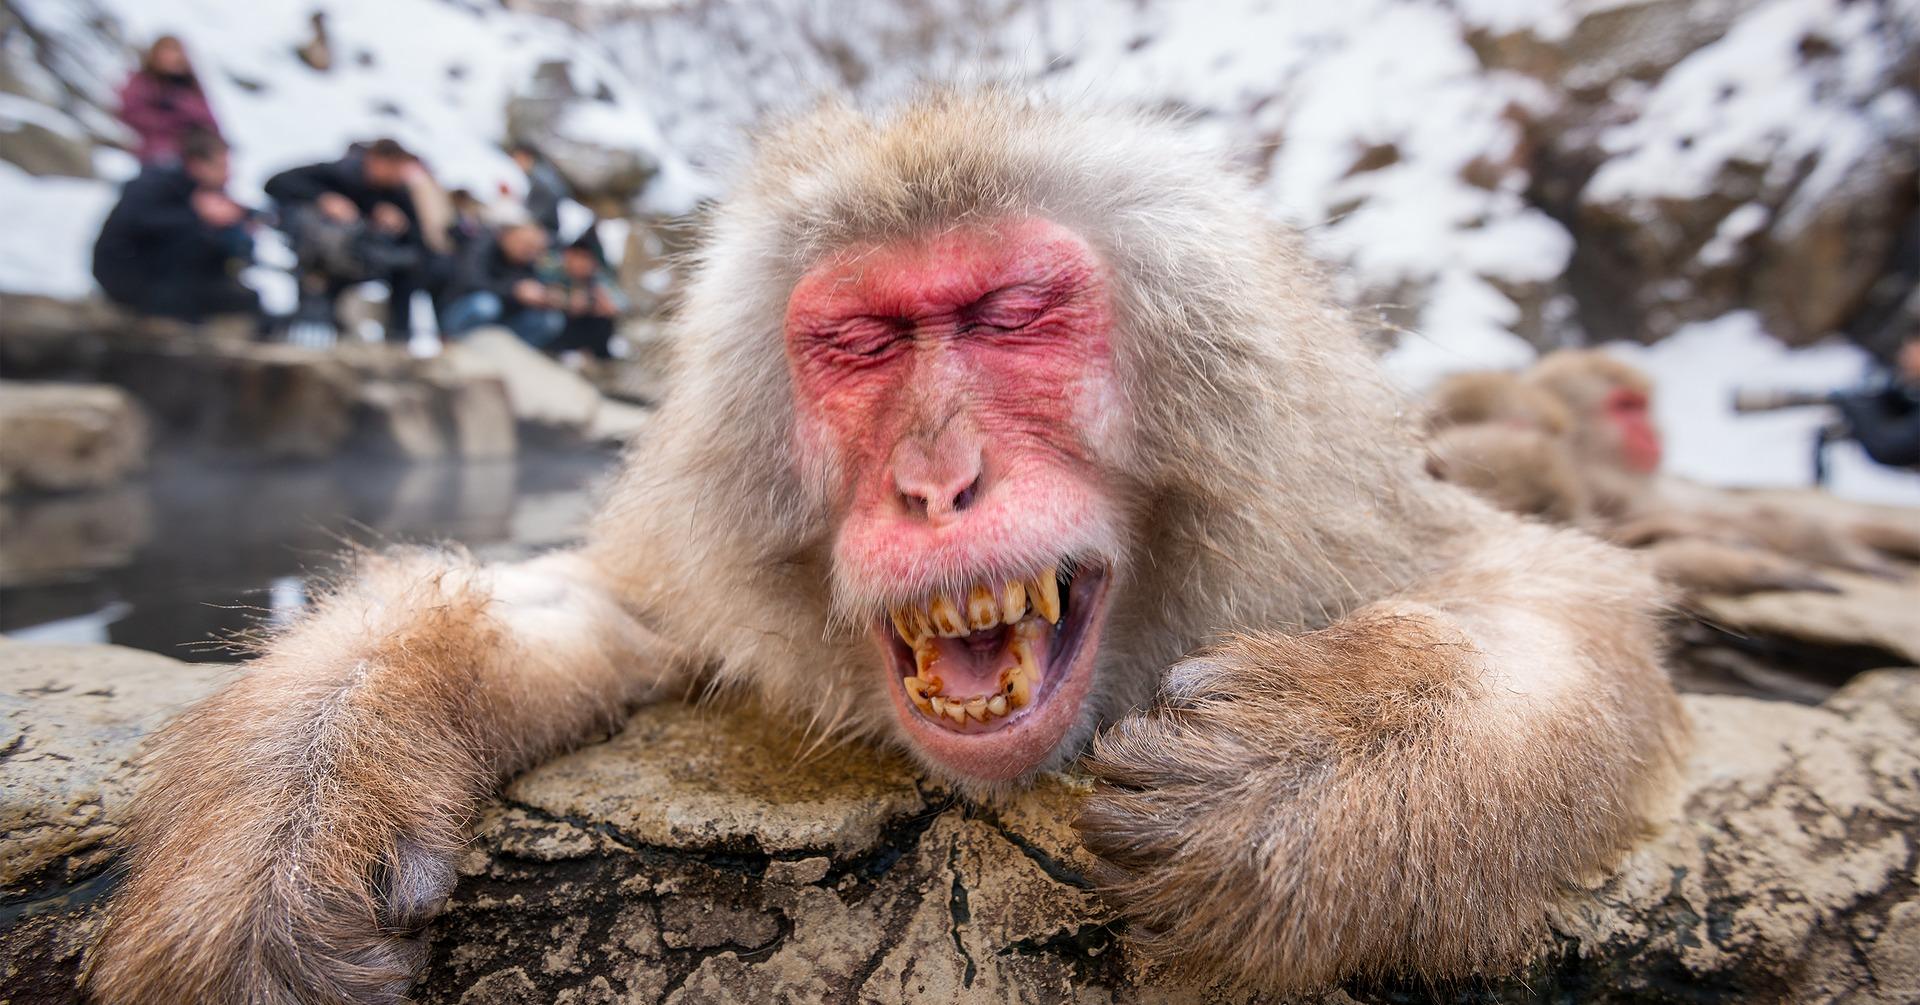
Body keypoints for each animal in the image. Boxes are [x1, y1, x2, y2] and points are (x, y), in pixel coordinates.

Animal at [88, 90, 1690, 1004]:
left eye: (1008, 317)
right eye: (860, 342)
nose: (935, 480)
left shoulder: (1350, 520)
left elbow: (1560, 597)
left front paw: (1328, 759)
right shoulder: (689, 579)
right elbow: (574, 607)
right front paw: (294, 817)